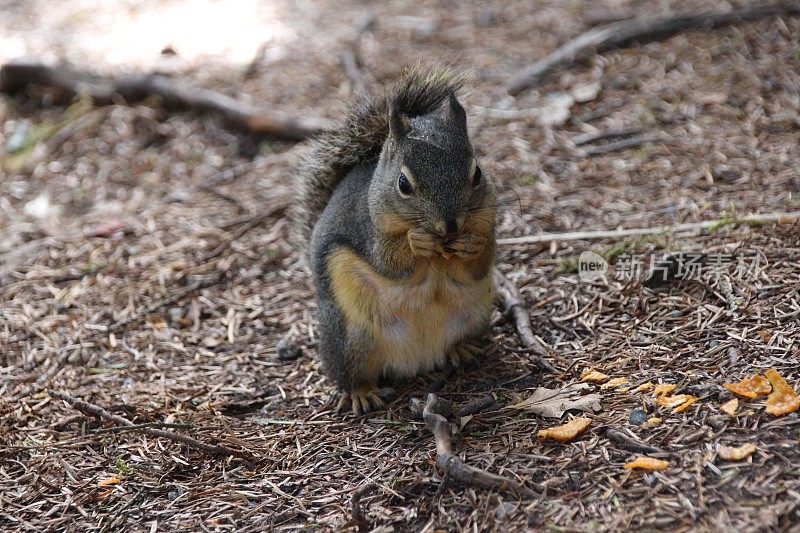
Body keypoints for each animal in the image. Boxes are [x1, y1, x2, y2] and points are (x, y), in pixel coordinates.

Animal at [298, 66, 494, 414]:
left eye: (478, 174)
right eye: (403, 183)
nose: (451, 225)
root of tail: (419, 359)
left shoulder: (488, 220)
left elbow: (479, 264)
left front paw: (472, 246)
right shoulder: (369, 229)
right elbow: (389, 262)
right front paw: (417, 243)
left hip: (476, 314)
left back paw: (462, 349)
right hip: (350, 338)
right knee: (351, 373)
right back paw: (360, 392)